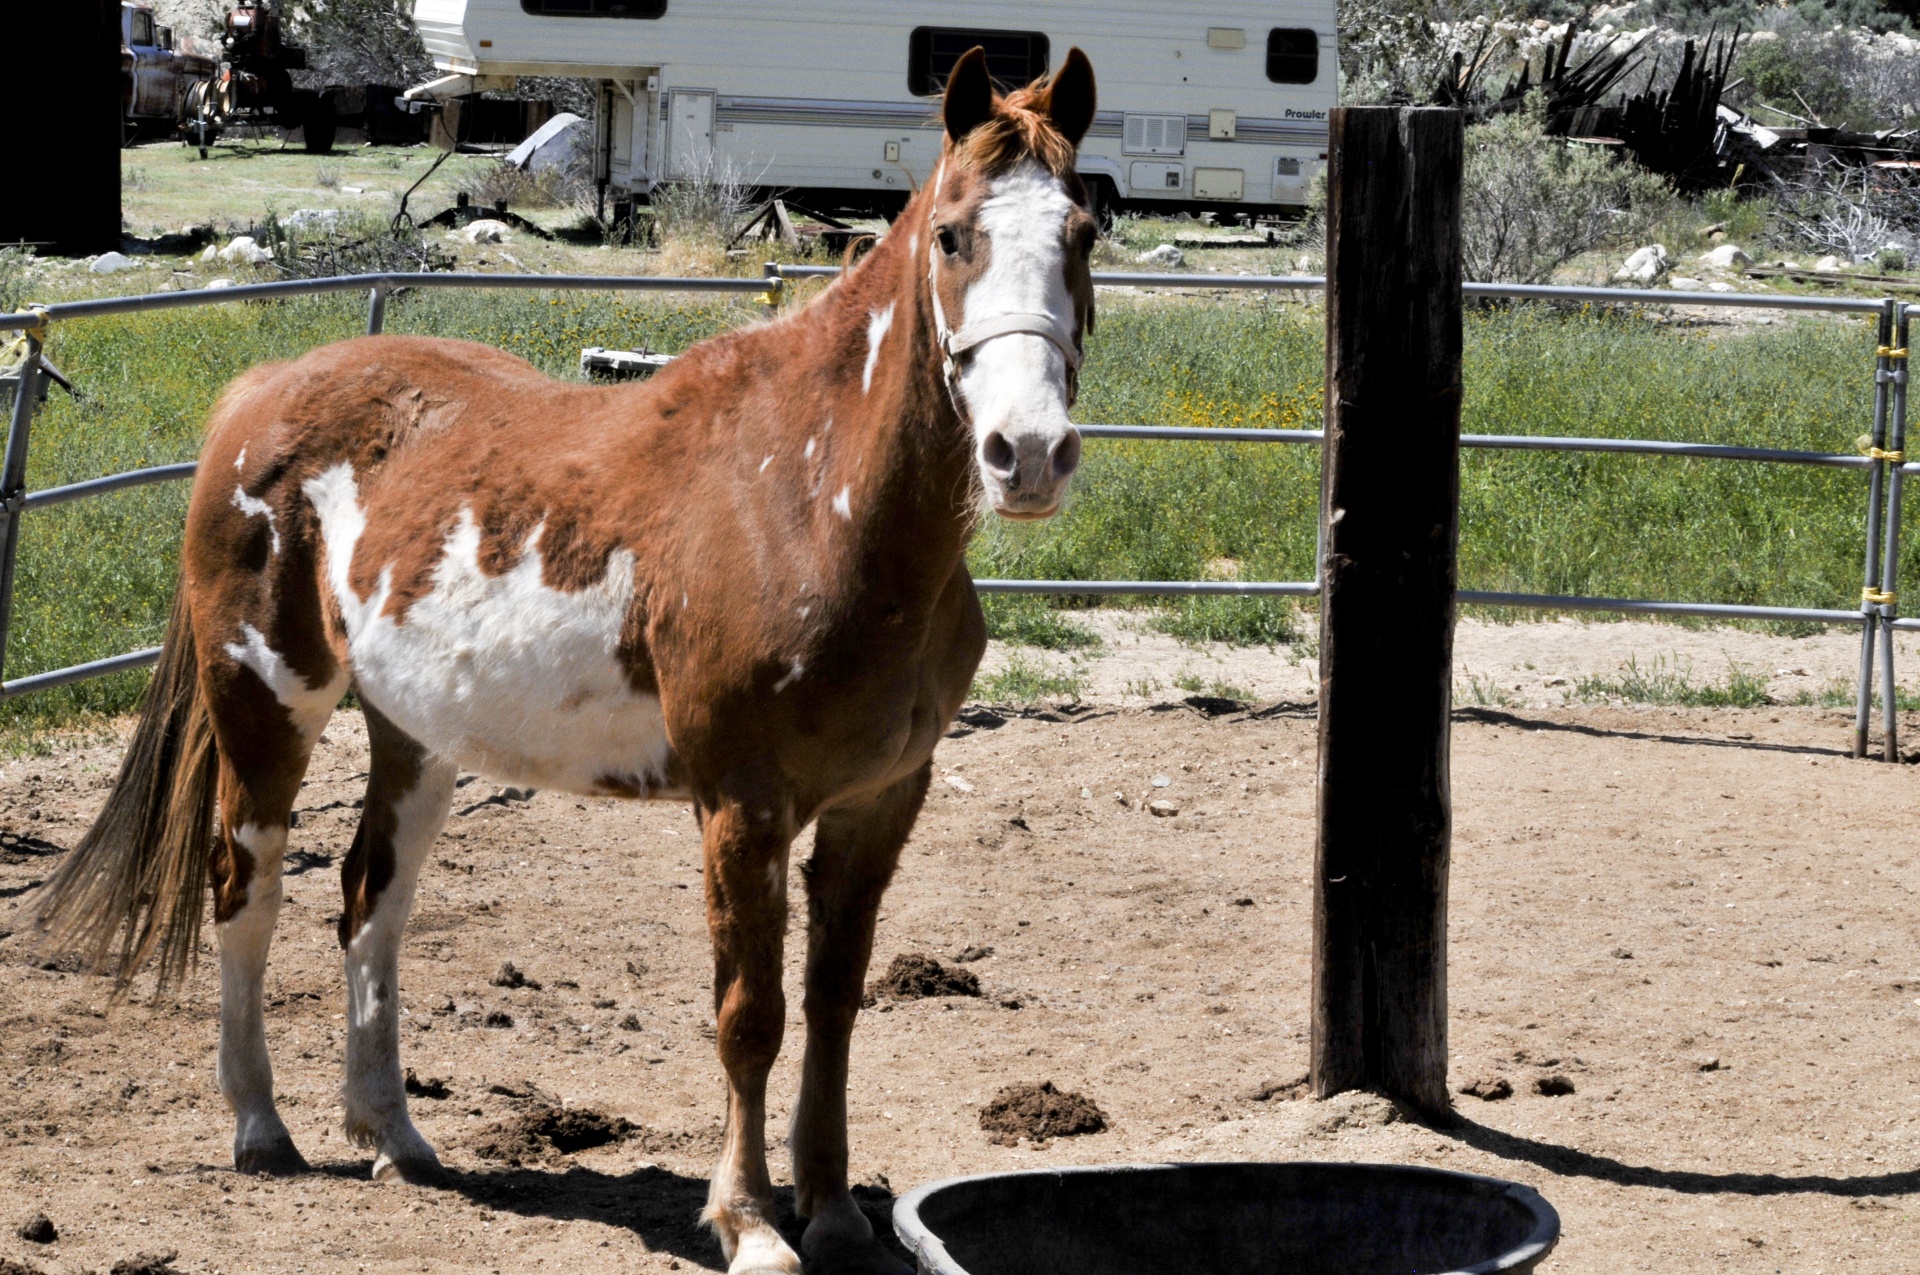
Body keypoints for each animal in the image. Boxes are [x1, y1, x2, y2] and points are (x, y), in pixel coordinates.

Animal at [33, 47, 1098, 1275]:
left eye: (1084, 230)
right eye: (954, 236)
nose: (1029, 454)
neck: (808, 500)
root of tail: (261, 394)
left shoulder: (880, 801)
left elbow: (832, 1004)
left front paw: (832, 1212)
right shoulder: (743, 805)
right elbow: (751, 1015)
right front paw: (749, 1221)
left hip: (415, 737)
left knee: (370, 906)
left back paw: (395, 1135)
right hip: (266, 705)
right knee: (245, 891)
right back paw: (262, 1126)